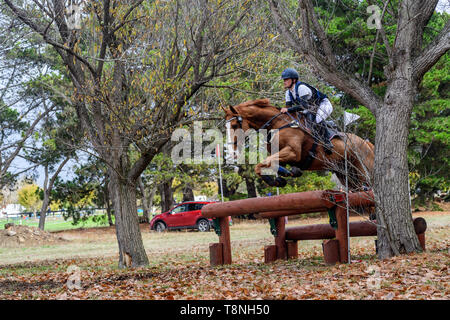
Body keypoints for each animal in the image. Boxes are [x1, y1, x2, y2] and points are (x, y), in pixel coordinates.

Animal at [223, 99, 374, 191]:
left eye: (235, 125)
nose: (231, 153)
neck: (278, 124)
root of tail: (366, 143)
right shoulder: (280, 155)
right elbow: (263, 166)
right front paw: (282, 178)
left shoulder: (292, 153)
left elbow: (262, 163)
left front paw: (287, 174)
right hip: (344, 173)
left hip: (361, 170)